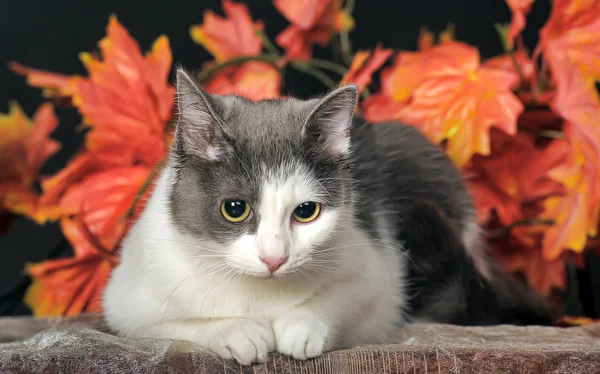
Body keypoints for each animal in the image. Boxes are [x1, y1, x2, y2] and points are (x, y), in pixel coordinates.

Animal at [103, 68, 556, 366]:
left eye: (306, 212)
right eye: (235, 209)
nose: (274, 258)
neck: (261, 295)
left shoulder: (377, 271)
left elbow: (345, 299)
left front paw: (301, 326)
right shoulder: (126, 300)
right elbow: (170, 323)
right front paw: (237, 331)